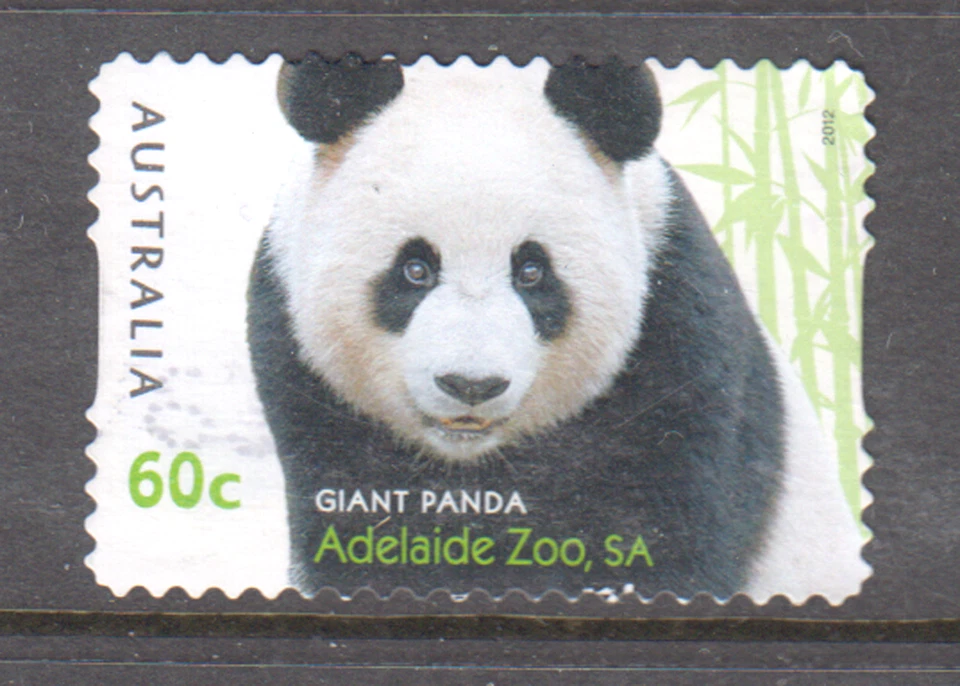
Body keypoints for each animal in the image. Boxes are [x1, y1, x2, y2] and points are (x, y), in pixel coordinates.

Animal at [248, 53, 869, 602]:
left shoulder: (676, 345)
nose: (471, 385)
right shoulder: (307, 382)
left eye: (532, 271)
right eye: (415, 269)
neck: (474, 463)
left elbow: (657, 539)